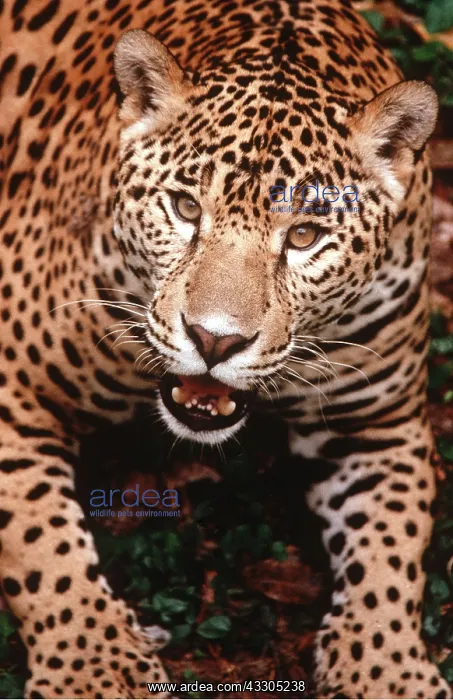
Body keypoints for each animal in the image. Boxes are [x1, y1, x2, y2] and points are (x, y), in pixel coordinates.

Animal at [0, 0, 450, 697]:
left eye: (304, 235)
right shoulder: (16, 385)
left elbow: (392, 554)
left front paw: (388, 671)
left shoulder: (379, 426)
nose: (215, 338)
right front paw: (95, 664)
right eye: (186, 207)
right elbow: (38, 534)